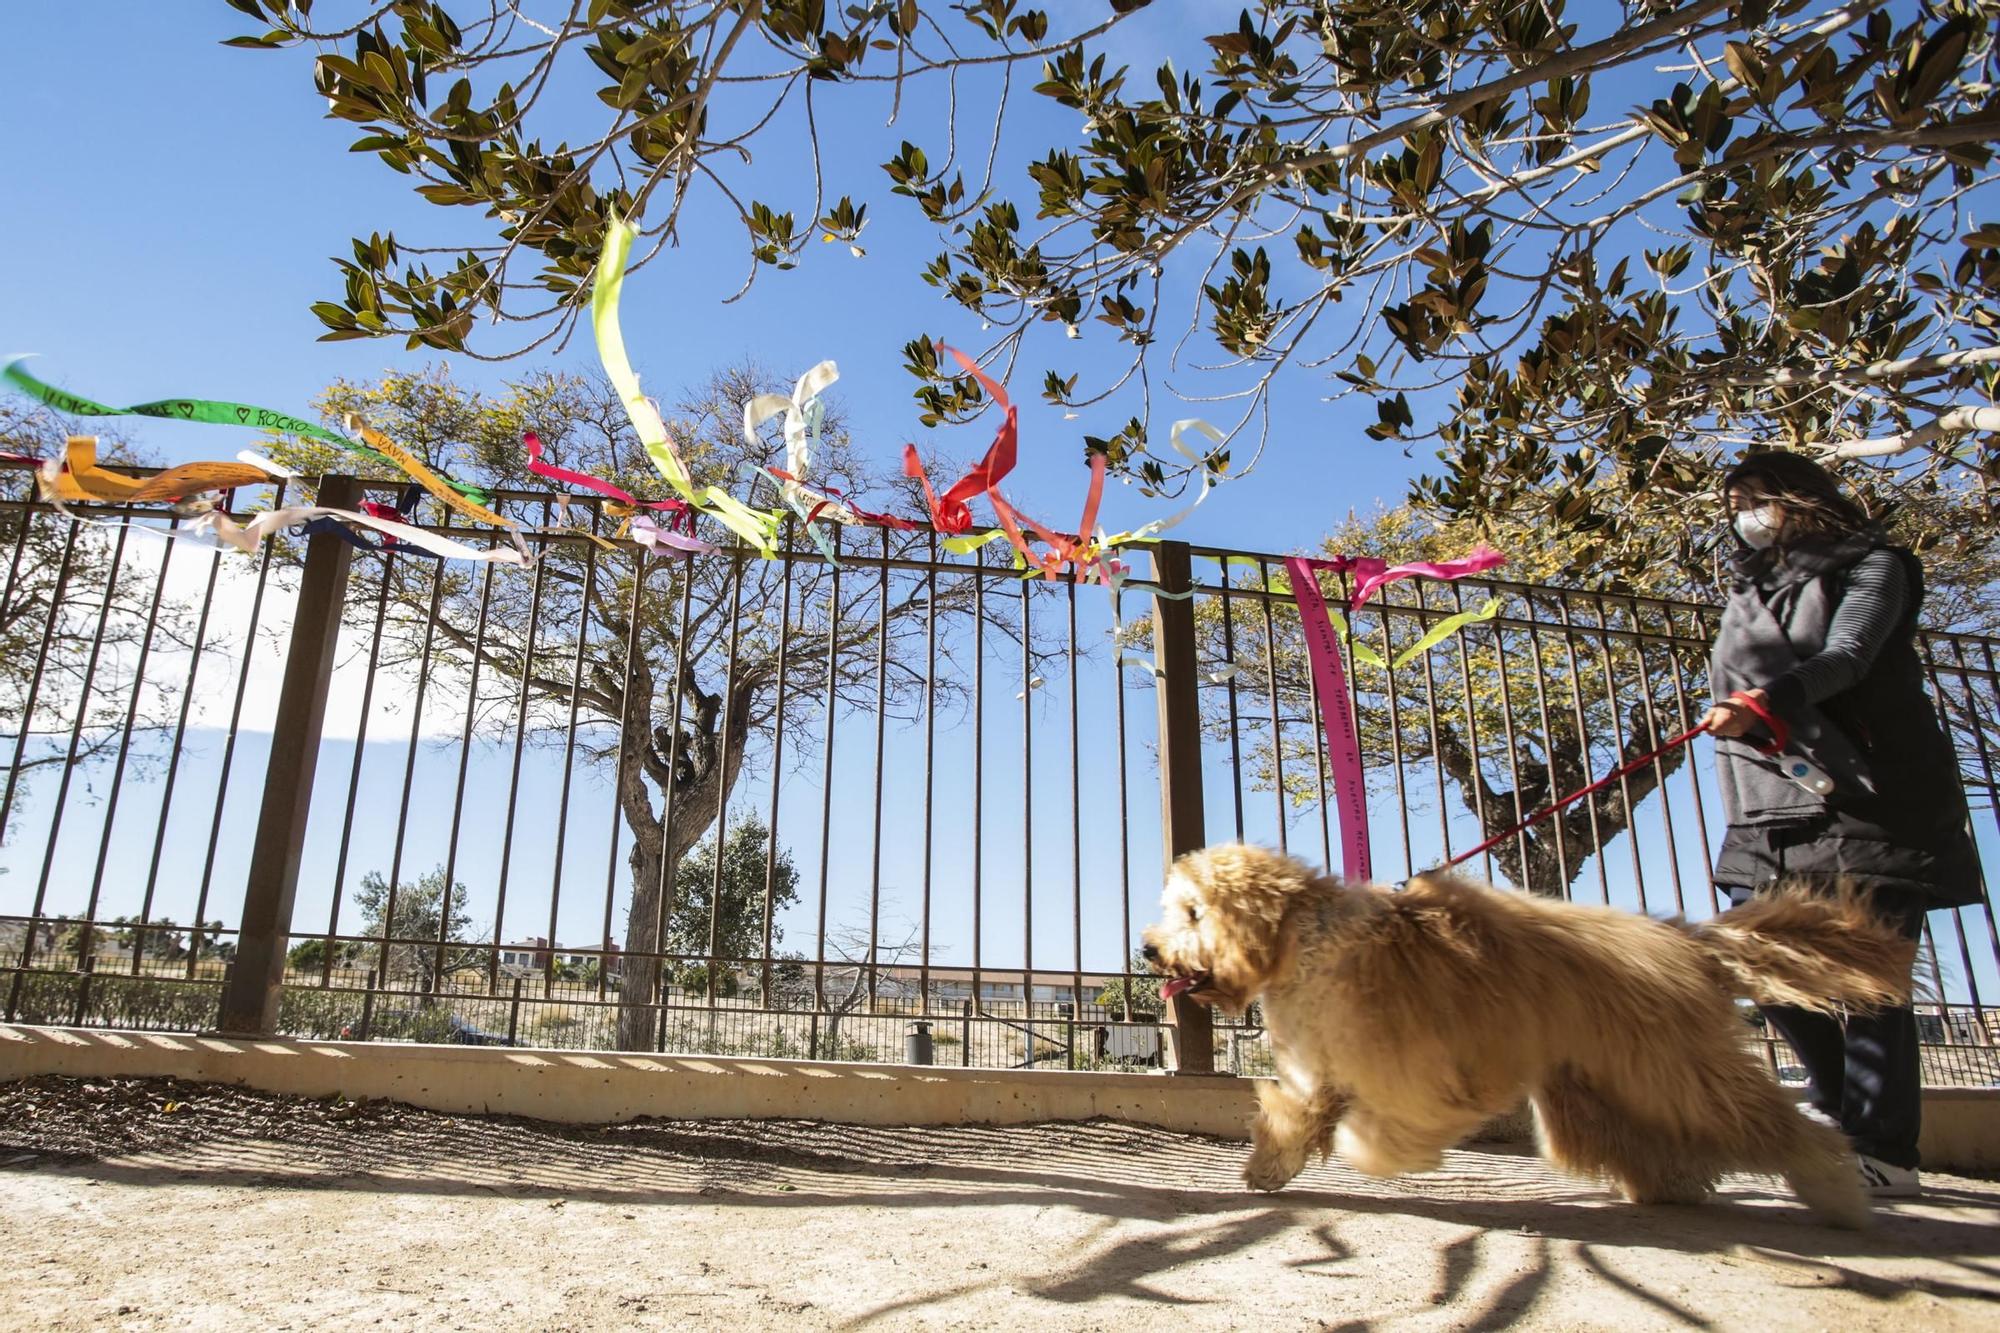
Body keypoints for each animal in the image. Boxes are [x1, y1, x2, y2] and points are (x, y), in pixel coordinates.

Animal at [1152, 840, 1912, 1224]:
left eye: (1193, 912)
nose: (1150, 951)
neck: (1303, 937)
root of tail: (1692, 940)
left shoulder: (1417, 1072)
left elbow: (1383, 1124)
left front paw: (1370, 1151)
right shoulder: (1323, 1066)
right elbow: (1299, 1113)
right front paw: (1268, 1166)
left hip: (1673, 1070)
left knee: (1779, 1126)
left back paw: (1834, 1187)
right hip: (1596, 1086)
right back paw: (1672, 1186)